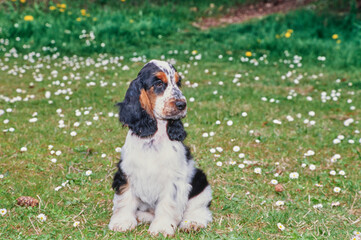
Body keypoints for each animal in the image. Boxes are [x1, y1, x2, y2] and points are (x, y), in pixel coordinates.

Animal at [108, 59, 212, 235]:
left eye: (178, 83)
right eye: (158, 83)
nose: (182, 104)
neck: (154, 138)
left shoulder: (173, 180)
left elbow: (167, 204)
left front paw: (162, 227)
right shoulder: (126, 173)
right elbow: (125, 199)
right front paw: (121, 223)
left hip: (200, 181)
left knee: (199, 208)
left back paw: (192, 222)